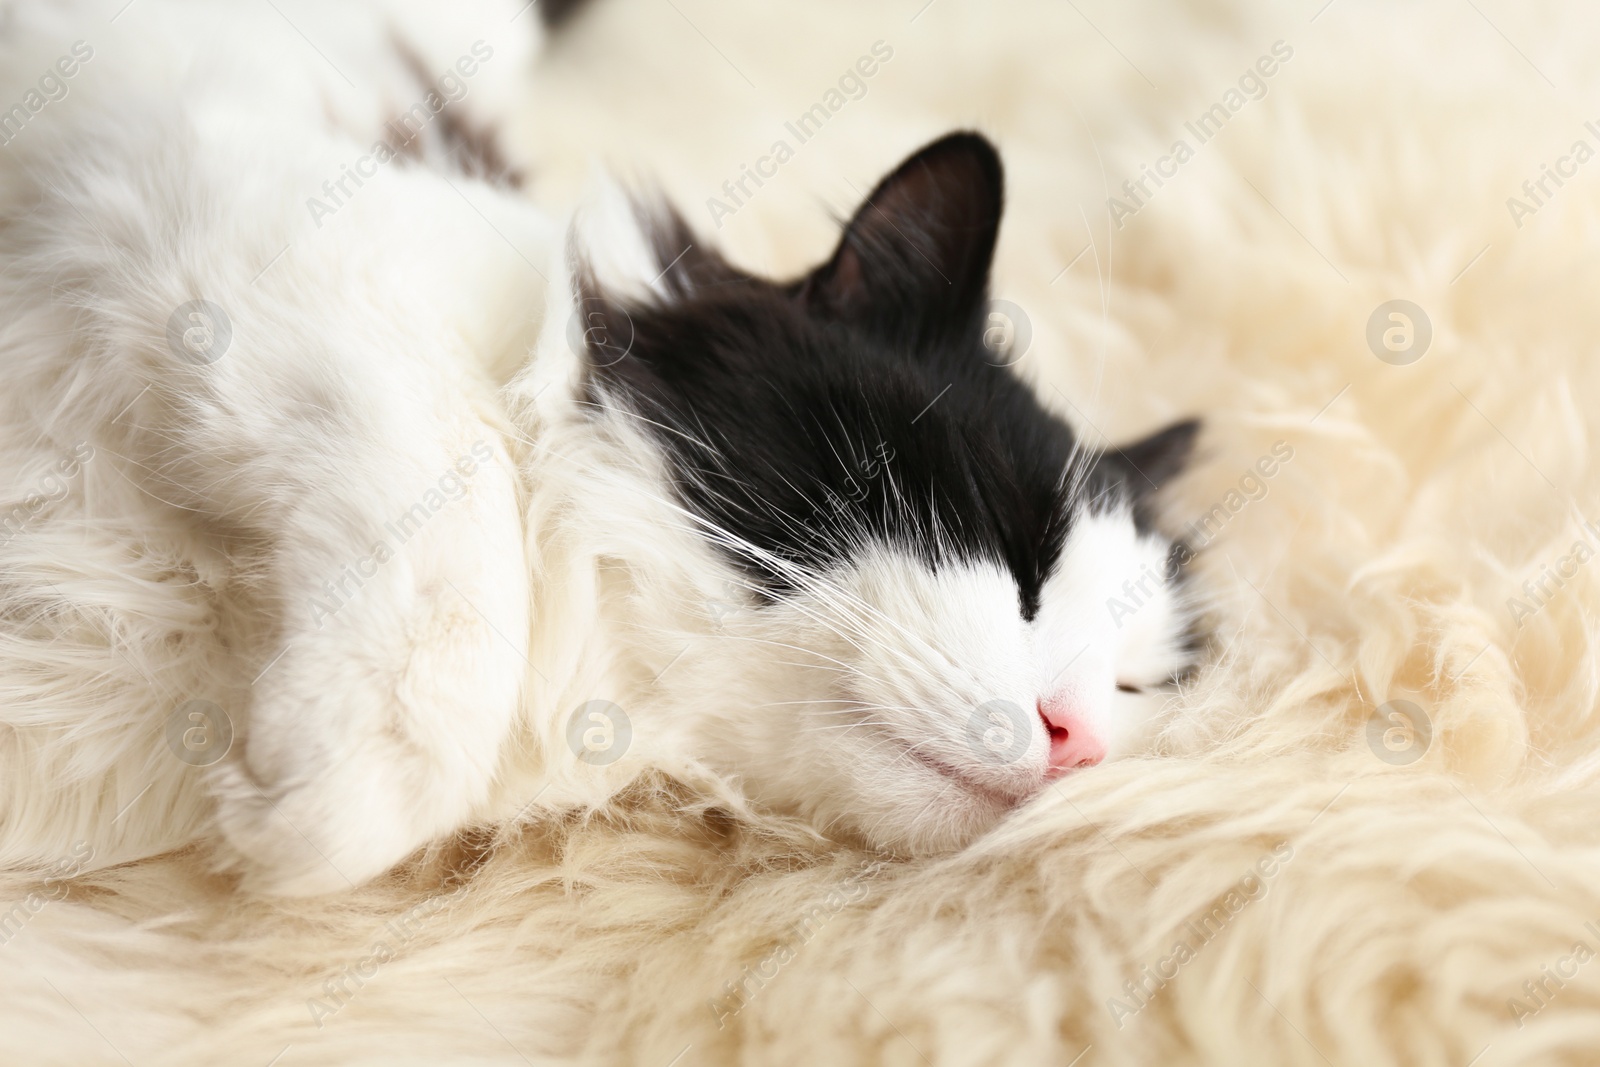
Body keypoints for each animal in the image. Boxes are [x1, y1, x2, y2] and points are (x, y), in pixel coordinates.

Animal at [0, 0, 1203, 895]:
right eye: (1017, 555)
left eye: (1133, 684)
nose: (1079, 739)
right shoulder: (231, 229)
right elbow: (461, 526)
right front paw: (327, 800)